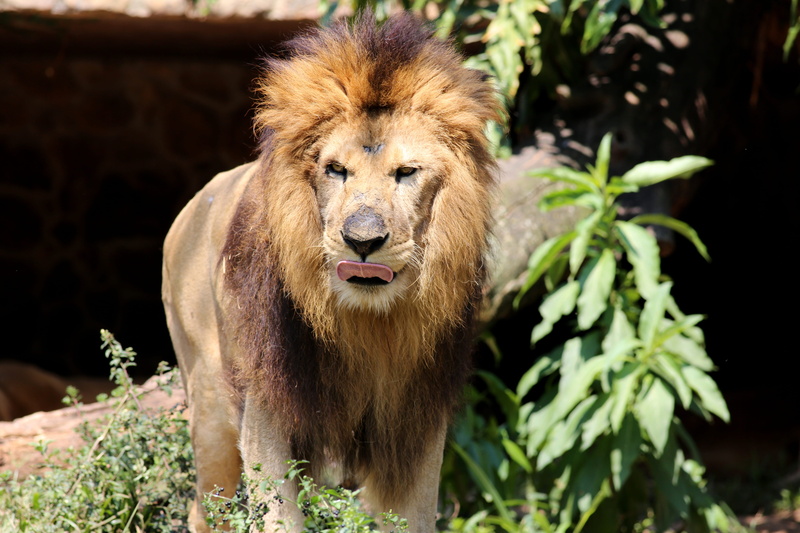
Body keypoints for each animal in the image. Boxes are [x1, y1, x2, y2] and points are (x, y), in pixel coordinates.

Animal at [162, 12, 502, 532]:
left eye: (407, 172)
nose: (362, 241)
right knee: (207, 508)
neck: (369, 325)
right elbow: (278, 515)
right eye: (335, 169)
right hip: (210, 403)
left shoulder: (417, 422)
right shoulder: (268, 408)